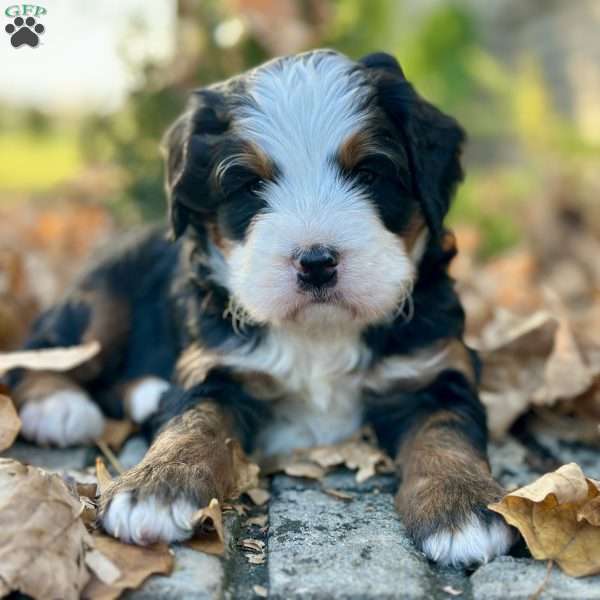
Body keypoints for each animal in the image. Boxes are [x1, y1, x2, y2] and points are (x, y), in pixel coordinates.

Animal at [10, 51, 516, 568]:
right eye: (251, 186)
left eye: (369, 174)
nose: (316, 262)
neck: (319, 334)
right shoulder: (217, 366)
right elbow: (194, 422)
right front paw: (157, 486)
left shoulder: (435, 369)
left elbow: (446, 433)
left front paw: (462, 503)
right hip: (105, 299)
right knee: (44, 350)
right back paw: (60, 407)